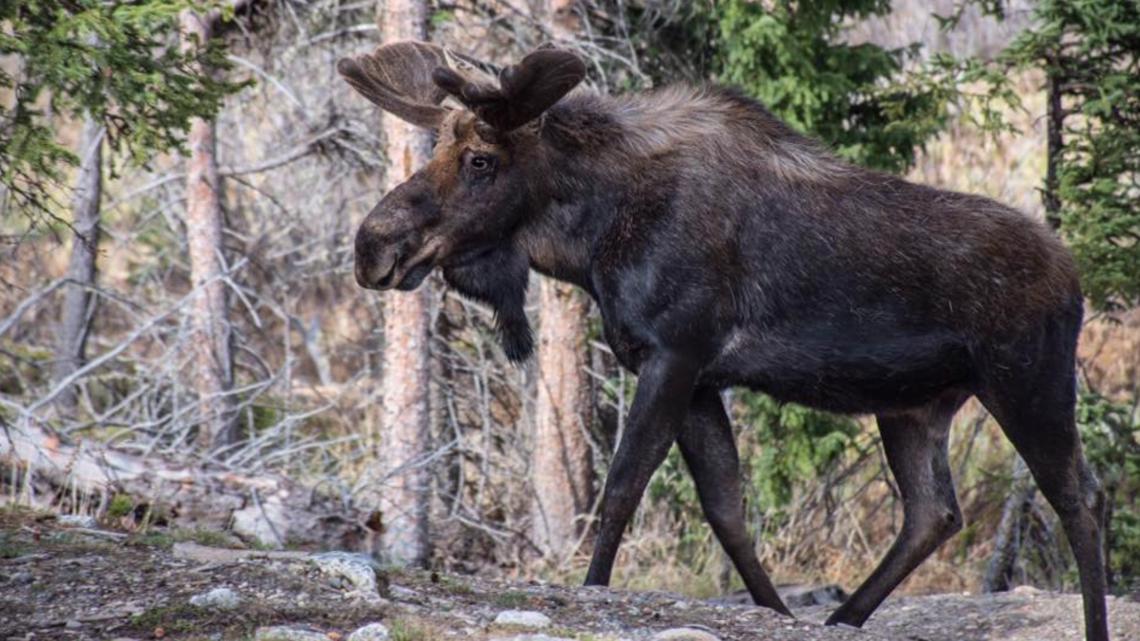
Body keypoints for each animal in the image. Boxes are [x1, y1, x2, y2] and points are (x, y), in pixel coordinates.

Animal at [337, 42, 1109, 641]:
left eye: (480, 160)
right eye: (439, 148)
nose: (372, 245)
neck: (590, 236)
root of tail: (1077, 277)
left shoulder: (674, 353)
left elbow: (621, 488)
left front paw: (593, 587)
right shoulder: (701, 377)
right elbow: (727, 511)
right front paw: (778, 611)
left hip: (1027, 377)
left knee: (1078, 496)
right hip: (913, 405)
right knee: (933, 513)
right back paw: (844, 617)